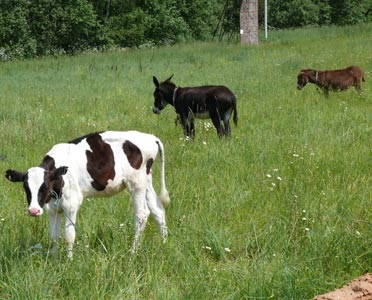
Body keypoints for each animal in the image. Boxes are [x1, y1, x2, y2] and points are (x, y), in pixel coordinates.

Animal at [5, 131, 171, 258]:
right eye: (26, 187)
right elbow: (53, 236)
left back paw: (132, 252)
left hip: (136, 183)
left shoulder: (71, 205)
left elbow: (69, 235)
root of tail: (151, 137)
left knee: (142, 215)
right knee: (158, 210)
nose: (33, 211)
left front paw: (69, 261)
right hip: (147, 181)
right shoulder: (52, 209)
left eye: (44, 186)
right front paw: (53, 259)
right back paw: (163, 244)